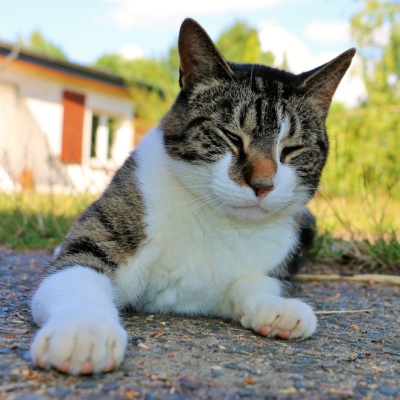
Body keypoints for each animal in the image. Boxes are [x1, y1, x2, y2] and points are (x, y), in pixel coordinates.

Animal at [29, 18, 354, 376]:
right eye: (231, 137)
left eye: (292, 149)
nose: (263, 184)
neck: (214, 219)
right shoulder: (103, 233)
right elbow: (77, 273)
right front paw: (84, 332)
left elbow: (255, 284)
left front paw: (277, 308)